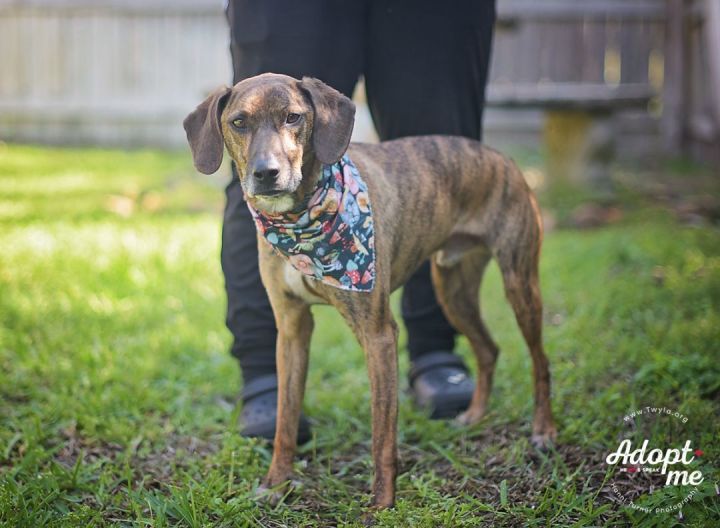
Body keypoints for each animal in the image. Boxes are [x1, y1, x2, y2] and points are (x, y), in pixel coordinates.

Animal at [184, 72, 556, 510]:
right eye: (239, 122)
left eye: (294, 117)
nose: (266, 172)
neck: (300, 219)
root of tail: (504, 159)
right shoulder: (291, 329)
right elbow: (285, 419)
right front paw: (276, 483)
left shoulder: (378, 334)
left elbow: (382, 431)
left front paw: (382, 502)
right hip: (453, 289)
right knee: (488, 349)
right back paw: (474, 415)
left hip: (519, 283)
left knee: (540, 360)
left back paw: (544, 431)